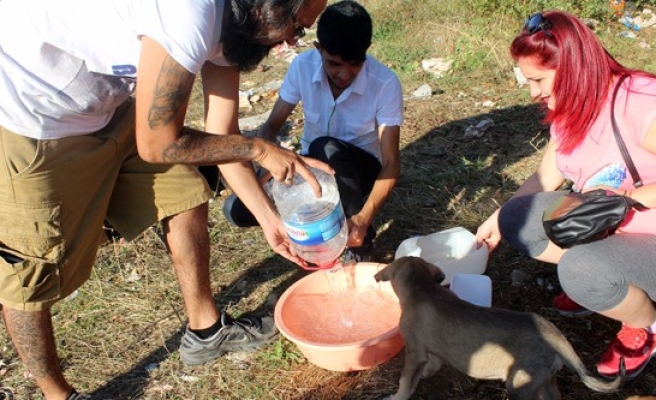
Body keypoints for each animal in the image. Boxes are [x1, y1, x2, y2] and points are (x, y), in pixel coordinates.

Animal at [374, 256, 624, 400]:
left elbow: (405, 381)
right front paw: (425, 375)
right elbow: (431, 365)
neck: (422, 287)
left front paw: (396, 397)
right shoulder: (430, 350)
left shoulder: (414, 352)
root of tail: (557, 338)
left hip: (520, 385)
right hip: (545, 381)